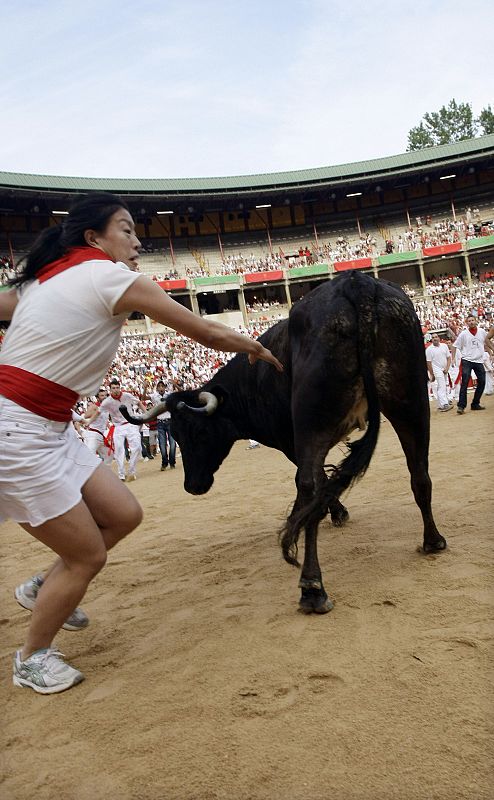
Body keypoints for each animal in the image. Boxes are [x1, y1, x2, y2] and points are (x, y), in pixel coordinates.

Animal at [121, 272, 446, 616]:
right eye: (177, 435)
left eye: (199, 433)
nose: (192, 486)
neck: (248, 382)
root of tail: (355, 282)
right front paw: (337, 513)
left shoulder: (293, 442)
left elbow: (314, 484)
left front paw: (333, 514)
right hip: (410, 399)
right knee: (419, 471)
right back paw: (433, 540)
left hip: (315, 422)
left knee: (310, 488)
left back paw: (312, 587)